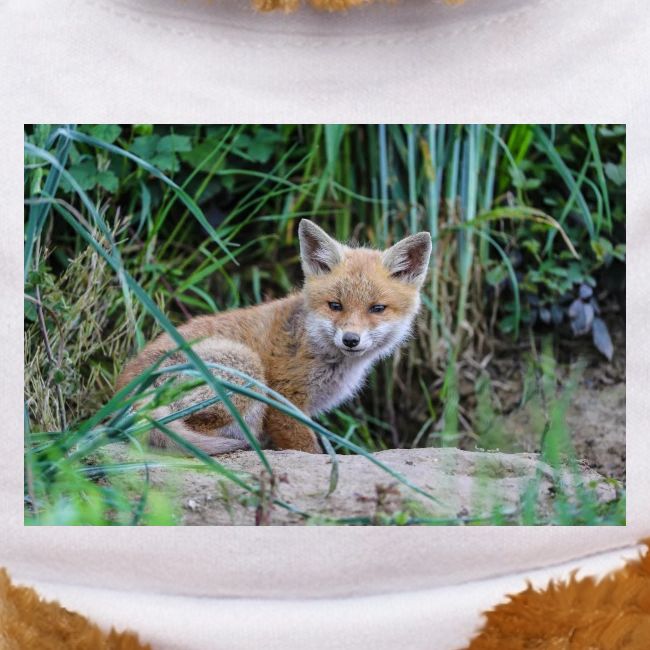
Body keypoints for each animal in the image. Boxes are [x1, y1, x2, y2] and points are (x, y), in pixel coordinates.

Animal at [117, 219, 432, 455]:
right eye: (335, 305)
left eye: (377, 309)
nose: (350, 339)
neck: (313, 344)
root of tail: (124, 394)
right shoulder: (283, 401)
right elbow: (308, 449)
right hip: (246, 369)